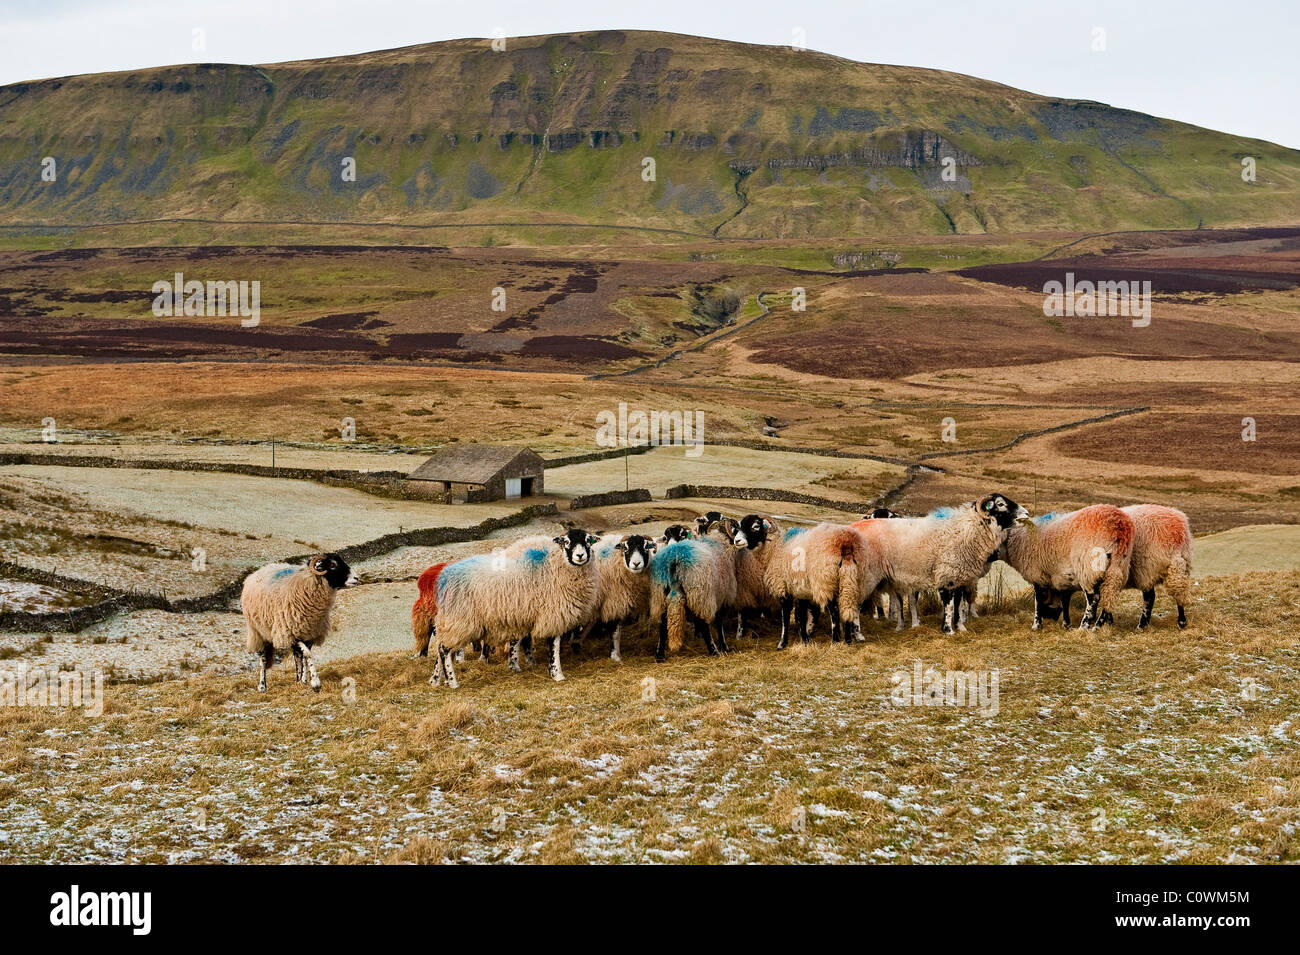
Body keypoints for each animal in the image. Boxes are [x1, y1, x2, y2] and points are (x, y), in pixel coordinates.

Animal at [241, 553, 356, 696]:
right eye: (332, 565)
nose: (356, 578)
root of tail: (255, 573)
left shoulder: (310, 633)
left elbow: (304, 656)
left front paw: (304, 680)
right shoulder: (291, 633)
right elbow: (307, 654)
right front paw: (315, 683)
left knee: (296, 656)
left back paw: (298, 679)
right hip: (259, 631)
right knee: (263, 659)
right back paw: (262, 686)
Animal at [647, 527, 738, 660]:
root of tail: (675, 557)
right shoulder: (724, 597)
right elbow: (719, 622)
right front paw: (724, 646)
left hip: (661, 595)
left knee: (663, 624)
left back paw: (659, 655)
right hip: (700, 594)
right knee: (704, 624)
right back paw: (714, 651)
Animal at [857, 493, 1029, 634]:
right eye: (1000, 504)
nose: (1027, 514)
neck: (964, 531)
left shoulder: (960, 578)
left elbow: (959, 606)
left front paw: (961, 627)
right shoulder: (947, 577)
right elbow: (949, 606)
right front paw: (948, 630)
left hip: (897, 579)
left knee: (899, 602)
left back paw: (901, 625)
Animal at [998, 504, 1133, 631]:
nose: (1049, 618)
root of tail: (1119, 528)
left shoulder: (1038, 575)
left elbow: (1038, 600)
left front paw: (1036, 624)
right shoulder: (1064, 578)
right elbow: (1065, 601)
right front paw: (1066, 624)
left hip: (1088, 568)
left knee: (1093, 598)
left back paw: (1084, 626)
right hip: (1117, 568)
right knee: (1109, 596)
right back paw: (1097, 626)